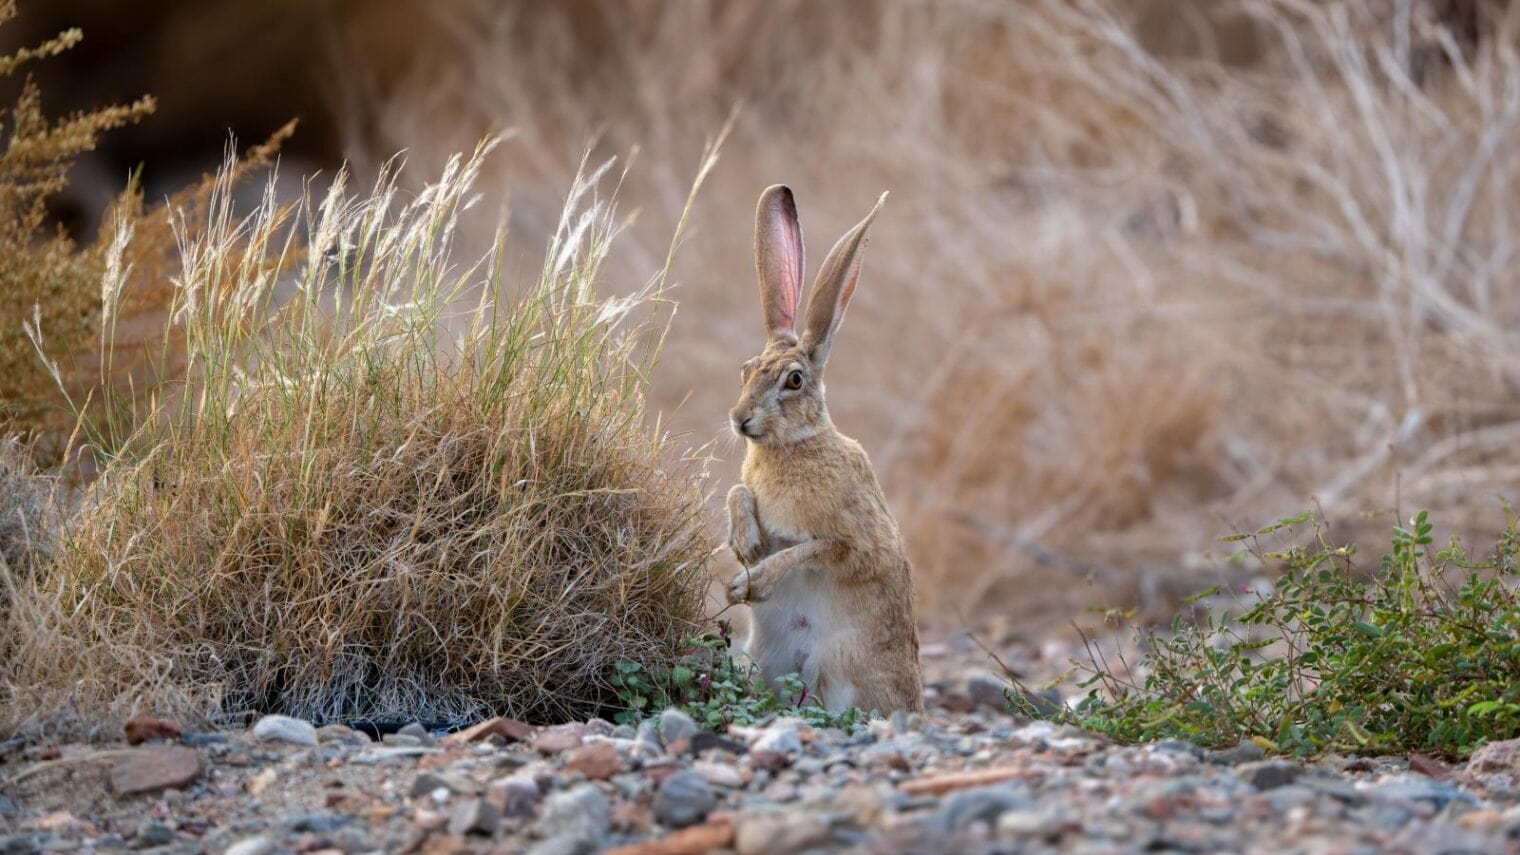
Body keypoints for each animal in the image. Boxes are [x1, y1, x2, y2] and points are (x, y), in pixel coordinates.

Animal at [724, 184, 923, 715]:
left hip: (838, 662)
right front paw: (745, 543)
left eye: (794, 380)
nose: (740, 419)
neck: (793, 445)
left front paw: (751, 582)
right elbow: (738, 491)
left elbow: (815, 548)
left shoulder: (858, 540)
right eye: (746, 370)